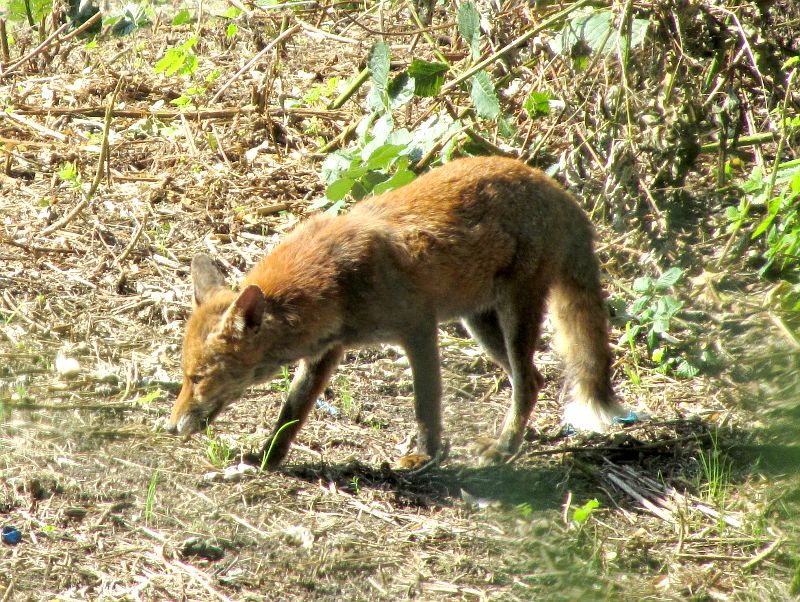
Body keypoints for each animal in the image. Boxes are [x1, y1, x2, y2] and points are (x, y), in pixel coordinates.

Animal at [169, 155, 628, 464]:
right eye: (184, 376)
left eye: (198, 378)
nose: (170, 427)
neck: (335, 279)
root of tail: (556, 189)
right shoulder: (325, 352)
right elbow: (292, 411)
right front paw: (268, 458)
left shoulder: (418, 329)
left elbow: (426, 403)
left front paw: (425, 456)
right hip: (479, 322)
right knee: (531, 378)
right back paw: (519, 437)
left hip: (514, 314)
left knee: (528, 380)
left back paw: (504, 447)